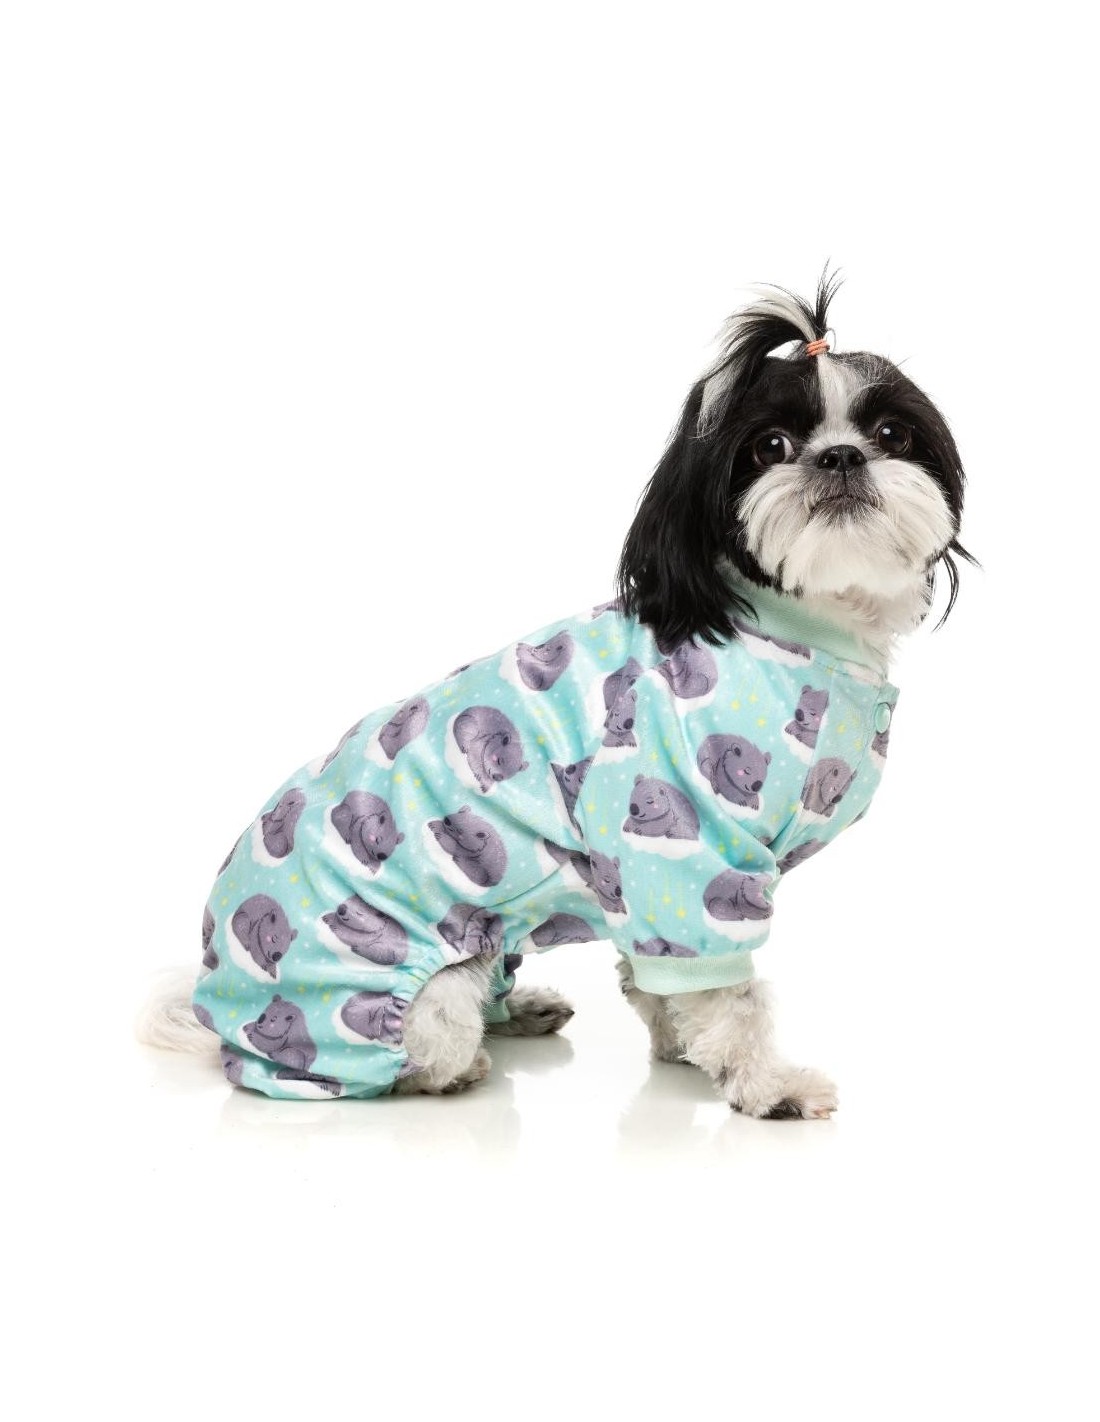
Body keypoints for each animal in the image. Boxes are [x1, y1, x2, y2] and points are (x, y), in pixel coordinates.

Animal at [140, 274, 969, 1117]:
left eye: (894, 434)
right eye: (769, 447)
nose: (840, 455)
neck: (790, 623)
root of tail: (213, 1004)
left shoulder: (645, 888)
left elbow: (657, 980)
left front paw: (681, 1048)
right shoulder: (685, 860)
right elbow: (728, 997)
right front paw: (767, 1086)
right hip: (416, 981)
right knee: (418, 1047)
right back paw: (453, 1068)